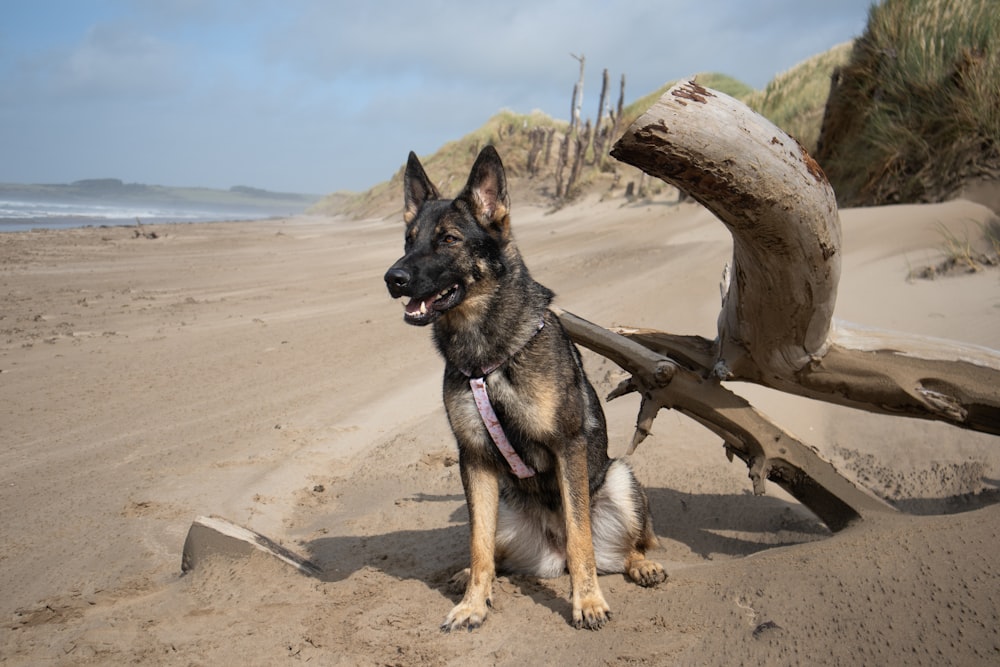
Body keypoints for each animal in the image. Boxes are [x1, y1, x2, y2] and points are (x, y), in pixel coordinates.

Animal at [382, 146, 664, 632]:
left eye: (449, 239)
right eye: (408, 240)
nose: (392, 278)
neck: (485, 356)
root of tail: (552, 553)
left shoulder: (567, 447)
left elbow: (581, 537)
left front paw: (588, 602)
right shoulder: (474, 459)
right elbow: (477, 544)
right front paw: (473, 605)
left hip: (621, 479)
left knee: (620, 548)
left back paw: (639, 564)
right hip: (506, 508)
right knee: (496, 554)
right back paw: (469, 577)